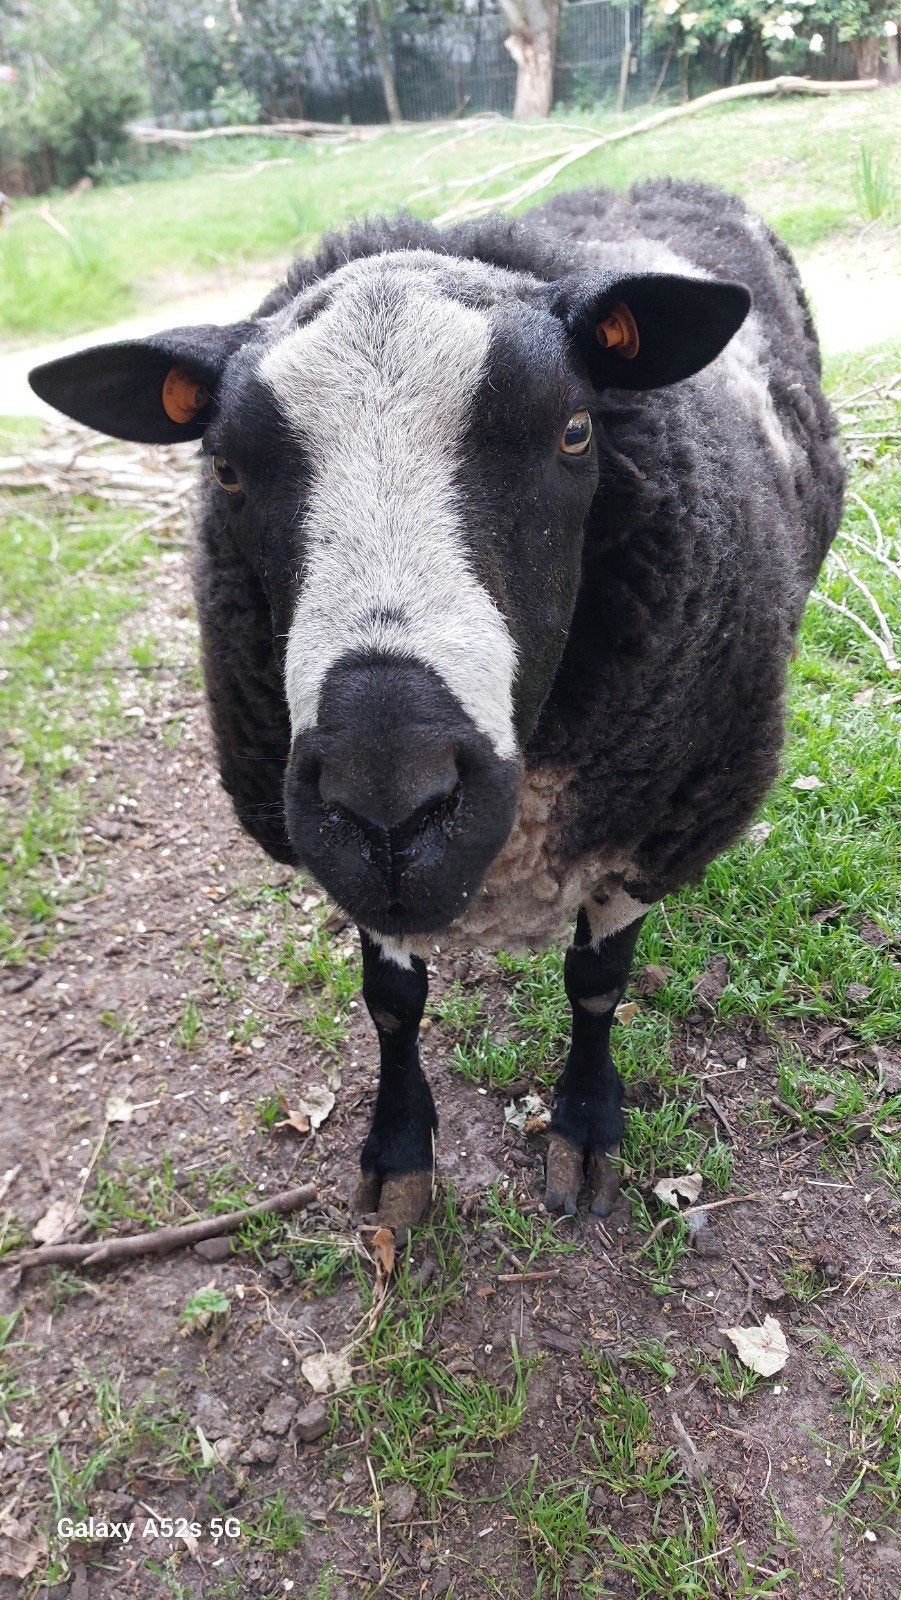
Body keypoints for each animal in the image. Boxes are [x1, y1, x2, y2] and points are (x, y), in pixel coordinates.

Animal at [30, 177, 845, 1230]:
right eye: (225, 468)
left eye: (574, 431)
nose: (389, 799)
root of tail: (640, 184)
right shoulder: (351, 869)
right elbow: (390, 1002)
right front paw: (396, 1157)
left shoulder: (648, 822)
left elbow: (595, 984)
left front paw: (586, 1130)